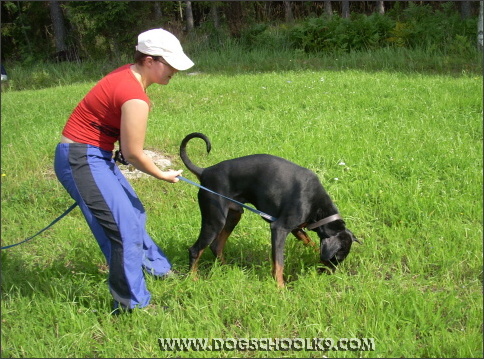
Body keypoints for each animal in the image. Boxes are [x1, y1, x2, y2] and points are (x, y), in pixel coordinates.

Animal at [179, 134, 360, 288]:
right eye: (337, 257)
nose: (331, 273)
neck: (316, 204)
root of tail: (205, 172)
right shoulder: (279, 228)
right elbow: (279, 263)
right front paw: (280, 287)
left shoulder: (296, 228)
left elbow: (311, 242)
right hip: (215, 220)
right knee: (195, 250)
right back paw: (193, 279)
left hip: (234, 215)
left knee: (216, 246)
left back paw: (227, 269)